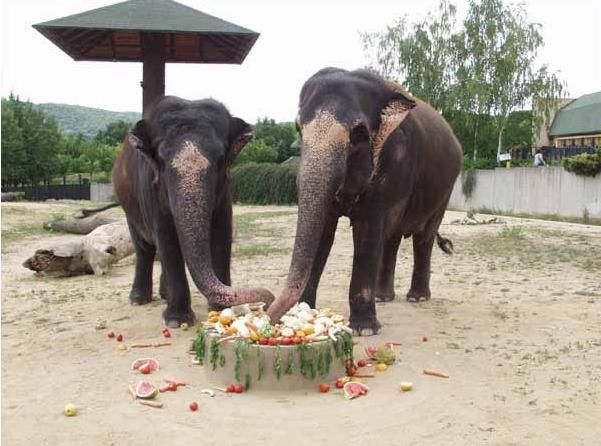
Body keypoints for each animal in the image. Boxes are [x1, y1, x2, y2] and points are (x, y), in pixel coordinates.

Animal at [109, 96, 274, 328]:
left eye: (221, 157)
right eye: (161, 159)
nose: (267, 304)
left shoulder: (225, 191)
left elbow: (221, 236)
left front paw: (220, 309)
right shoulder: (151, 189)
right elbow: (167, 241)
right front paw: (177, 321)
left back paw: (164, 295)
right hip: (129, 207)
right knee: (144, 248)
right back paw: (139, 300)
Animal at [268, 68, 460, 334]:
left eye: (359, 134)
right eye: (298, 128)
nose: (270, 315)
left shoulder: (393, 165)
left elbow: (368, 231)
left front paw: (365, 329)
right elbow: (324, 231)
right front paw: (305, 311)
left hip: (445, 190)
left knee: (423, 236)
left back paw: (417, 297)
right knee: (392, 238)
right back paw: (383, 297)